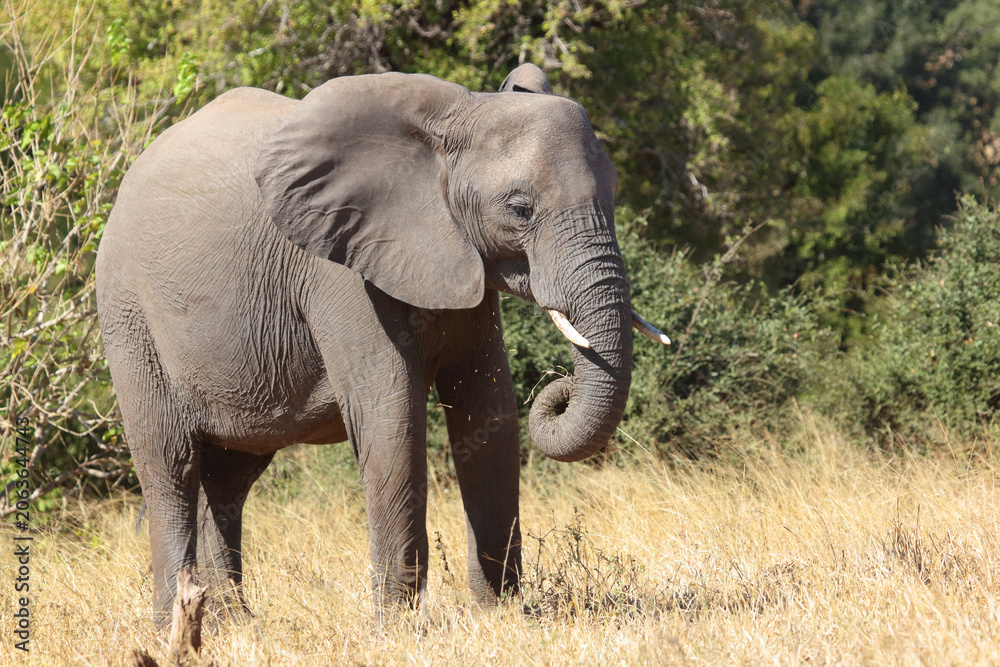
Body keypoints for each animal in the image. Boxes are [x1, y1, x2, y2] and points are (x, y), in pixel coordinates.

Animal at [95, 63, 668, 624]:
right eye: (520, 208)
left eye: (615, 192)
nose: (559, 390)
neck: (456, 117)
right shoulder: (340, 267)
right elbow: (391, 414)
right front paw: (399, 626)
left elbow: (489, 409)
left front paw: (501, 614)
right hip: (128, 315)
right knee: (170, 464)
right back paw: (176, 622)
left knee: (230, 476)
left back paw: (233, 623)